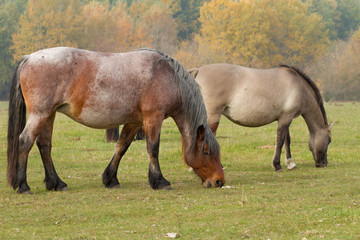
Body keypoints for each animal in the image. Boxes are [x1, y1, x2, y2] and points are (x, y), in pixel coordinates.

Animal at [7, 47, 224, 195]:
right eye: (206, 151)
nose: (219, 181)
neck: (167, 76)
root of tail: (29, 58)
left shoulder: (135, 122)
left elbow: (121, 146)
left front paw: (110, 179)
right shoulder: (153, 118)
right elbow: (153, 148)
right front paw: (159, 181)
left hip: (48, 115)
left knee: (44, 145)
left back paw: (56, 183)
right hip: (40, 114)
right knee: (25, 142)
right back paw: (24, 185)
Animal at [190, 63, 334, 171]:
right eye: (329, 140)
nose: (324, 164)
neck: (299, 86)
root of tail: (199, 70)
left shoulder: (284, 118)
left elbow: (287, 140)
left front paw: (290, 163)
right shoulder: (287, 118)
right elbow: (280, 141)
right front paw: (277, 165)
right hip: (213, 115)